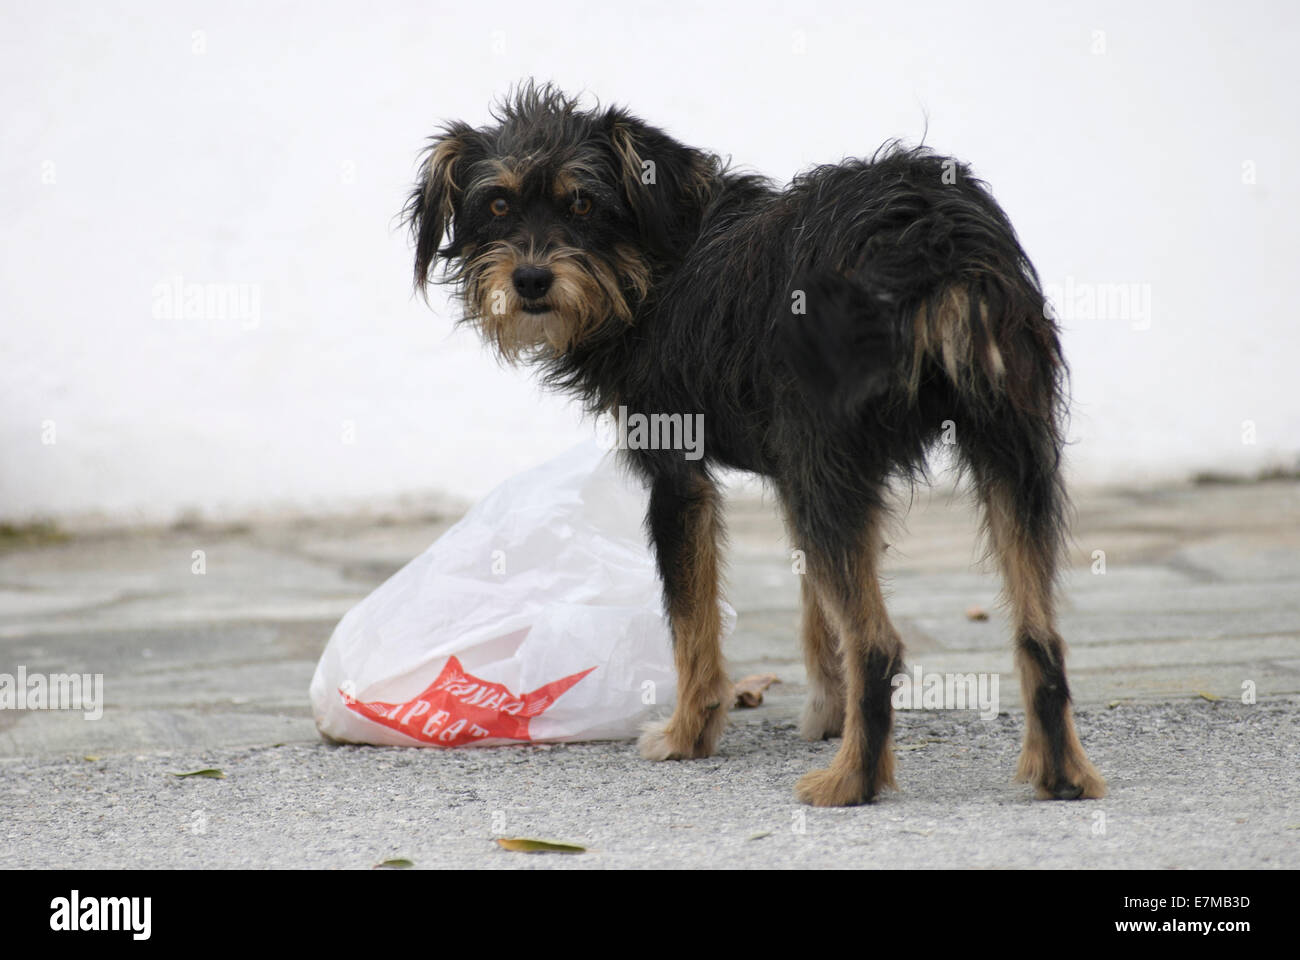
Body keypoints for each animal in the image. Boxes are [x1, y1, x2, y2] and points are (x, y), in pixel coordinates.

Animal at [400, 82, 1102, 806]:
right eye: (497, 204)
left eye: (584, 204)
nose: (531, 280)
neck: (652, 264)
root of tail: (933, 238)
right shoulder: (800, 479)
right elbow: (817, 611)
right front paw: (826, 712)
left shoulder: (680, 477)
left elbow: (692, 625)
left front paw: (688, 733)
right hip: (1010, 456)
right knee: (1040, 635)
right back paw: (1060, 773)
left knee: (879, 644)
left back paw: (850, 781)